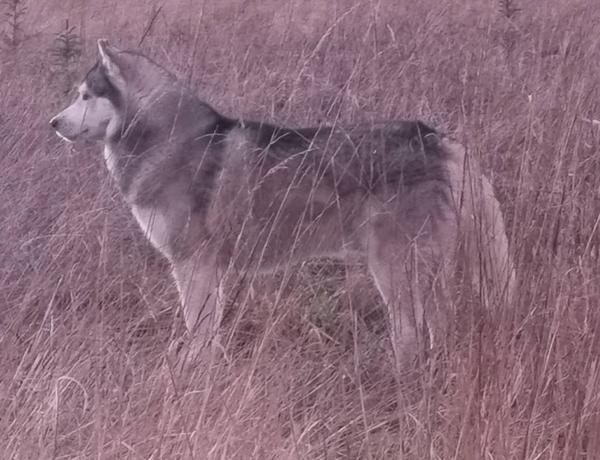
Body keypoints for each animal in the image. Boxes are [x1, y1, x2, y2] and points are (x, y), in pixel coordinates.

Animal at [49, 40, 512, 366]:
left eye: (86, 96)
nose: (52, 123)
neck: (165, 140)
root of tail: (438, 139)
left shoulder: (194, 264)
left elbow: (197, 331)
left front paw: (191, 374)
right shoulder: (213, 270)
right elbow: (208, 332)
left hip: (394, 269)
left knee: (411, 334)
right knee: (439, 327)